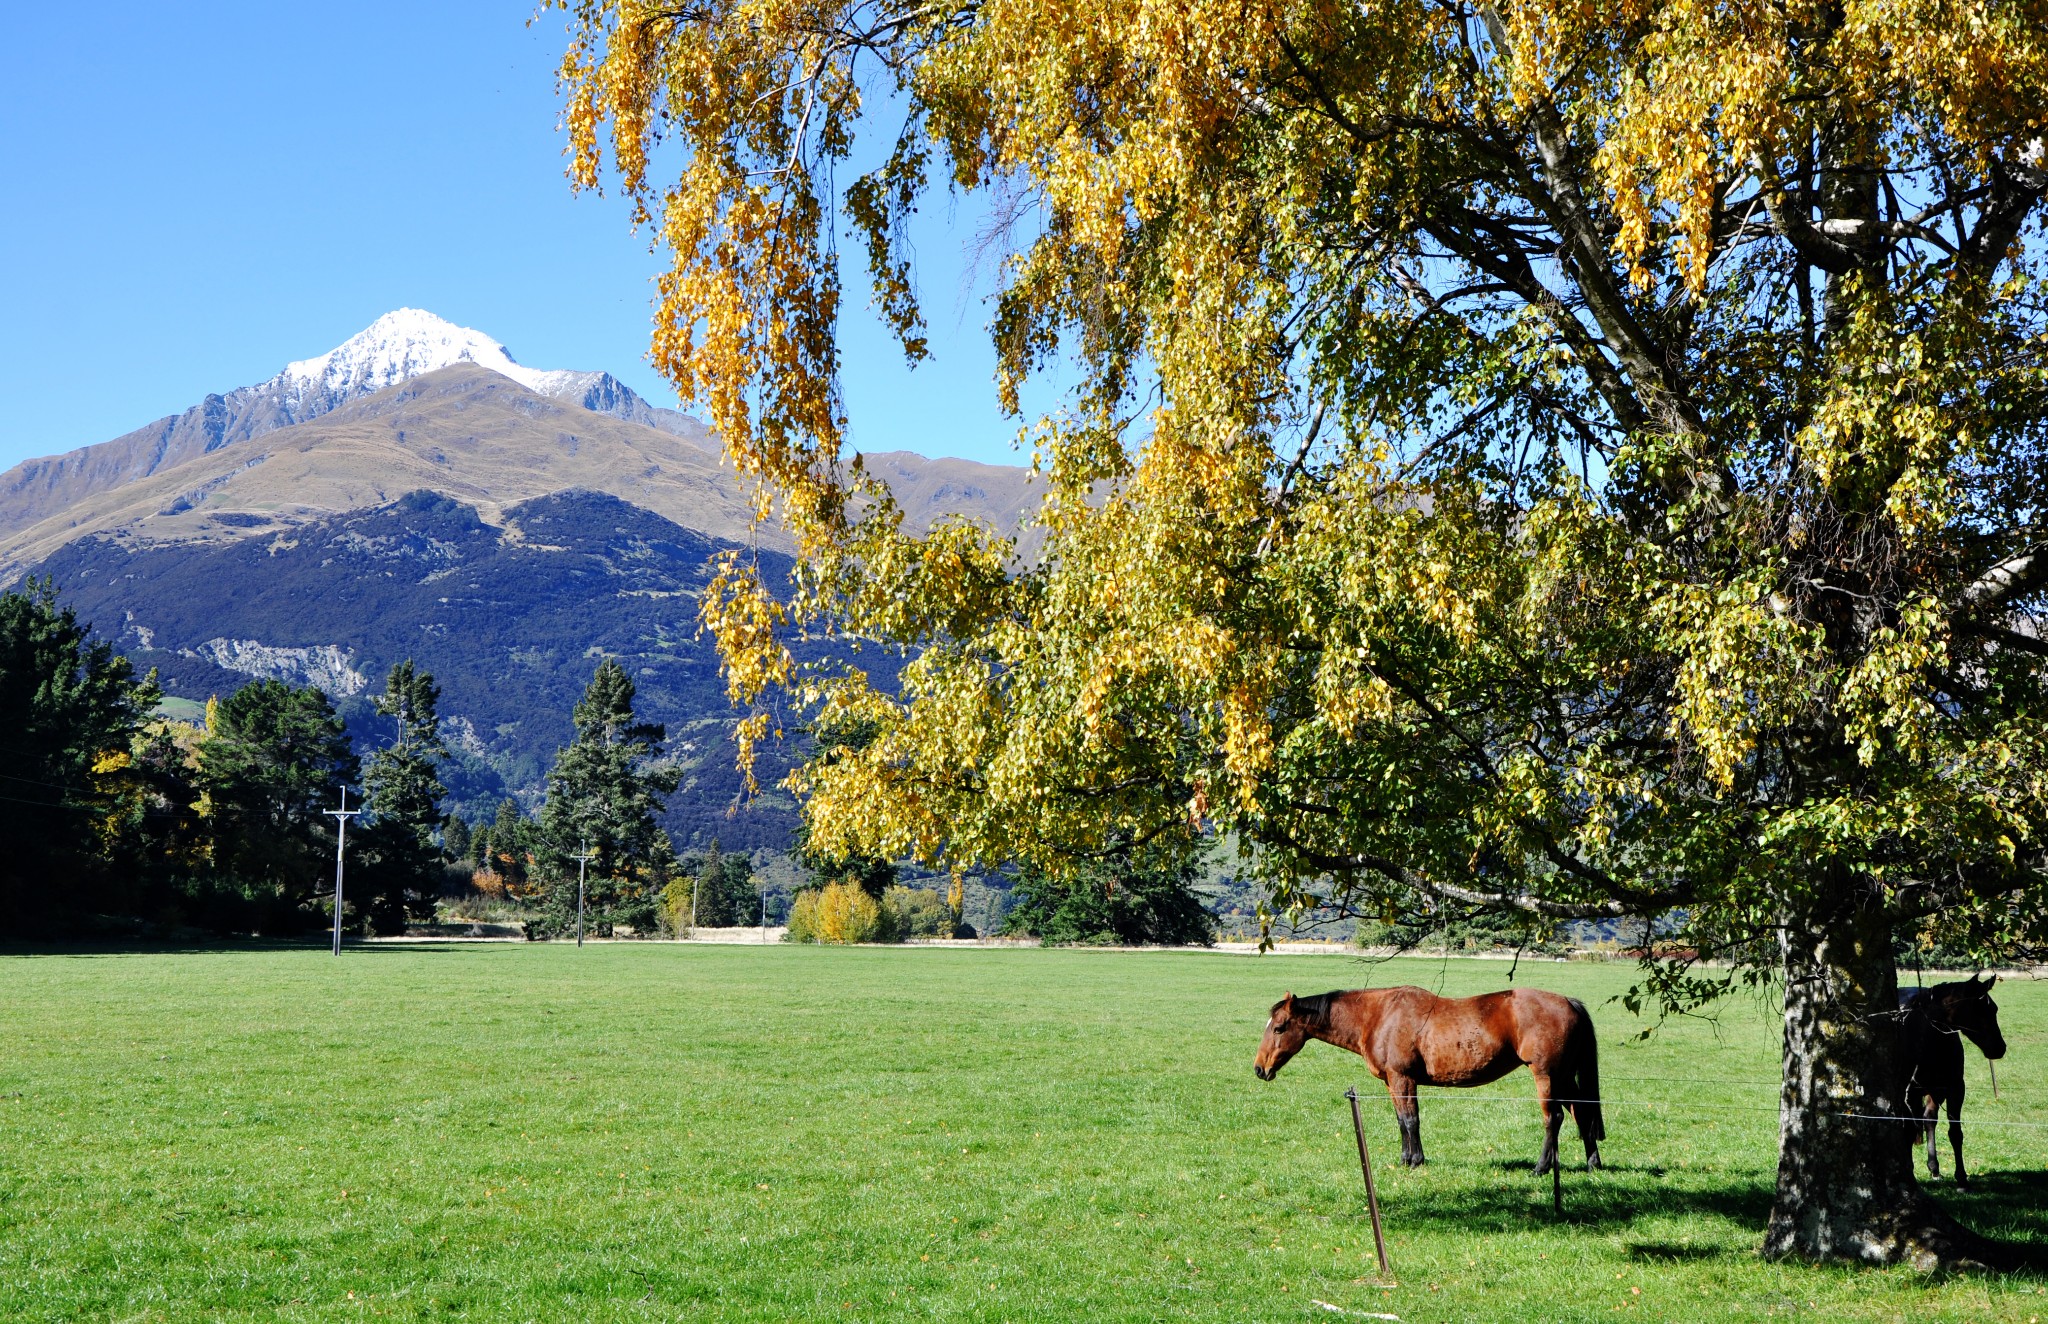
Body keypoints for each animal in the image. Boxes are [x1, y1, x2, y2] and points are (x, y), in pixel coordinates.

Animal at [1253, 991, 1605, 1180]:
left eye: (1280, 1027)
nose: (1260, 1068)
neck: (1378, 1015)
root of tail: (1568, 1002)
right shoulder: (1394, 1082)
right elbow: (1401, 1120)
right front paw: (1405, 1158)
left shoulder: (1403, 1078)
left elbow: (1411, 1120)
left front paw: (1415, 1160)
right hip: (1563, 1076)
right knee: (1581, 1113)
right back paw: (1593, 1163)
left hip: (1546, 1076)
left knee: (1553, 1118)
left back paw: (1541, 1167)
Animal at [1892, 975, 2007, 1196]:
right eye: (1981, 1009)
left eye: (1995, 1009)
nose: (1999, 1048)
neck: (1931, 1039)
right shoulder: (1910, 1093)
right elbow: (1908, 1131)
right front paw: (1909, 1176)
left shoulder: (1955, 1089)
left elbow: (1955, 1134)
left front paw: (1962, 1180)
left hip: (1934, 1091)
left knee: (1929, 1119)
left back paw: (1934, 1168)